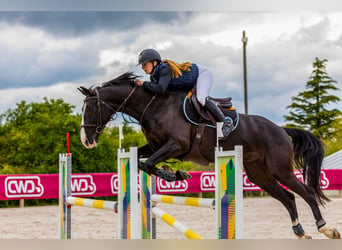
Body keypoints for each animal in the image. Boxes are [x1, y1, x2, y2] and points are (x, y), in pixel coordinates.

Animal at [79, 72, 340, 238]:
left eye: (90, 108)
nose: (85, 140)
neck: (153, 105)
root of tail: (281, 130)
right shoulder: (155, 145)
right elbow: (144, 163)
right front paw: (176, 174)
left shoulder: (177, 145)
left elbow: (150, 164)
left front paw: (176, 175)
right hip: (258, 174)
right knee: (288, 198)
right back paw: (299, 231)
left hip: (280, 170)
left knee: (306, 193)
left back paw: (325, 228)